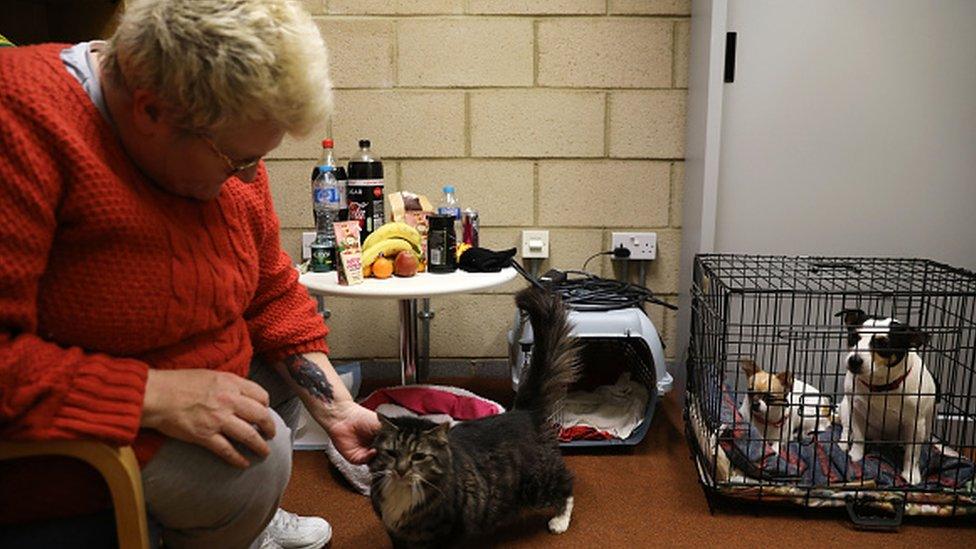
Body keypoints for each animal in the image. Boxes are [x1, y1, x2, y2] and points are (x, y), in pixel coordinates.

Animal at [370, 284, 576, 544]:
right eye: (391, 453)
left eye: (418, 456)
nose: (400, 470)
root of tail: (522, 411)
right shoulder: (396, 534)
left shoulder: (448, 533)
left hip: (537, 483)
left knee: (566, 485)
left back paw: (560, 521)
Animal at [836, 308, 936, 484]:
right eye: (854, 337)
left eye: (882, 344)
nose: (854, 360)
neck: (881, 386)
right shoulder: (857, 411)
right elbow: (859, 437)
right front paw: (856, 456)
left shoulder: (916, 424)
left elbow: (912, 453)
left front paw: (911, 474)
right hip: (846, 407)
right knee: (847, 428)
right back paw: (844, 442)